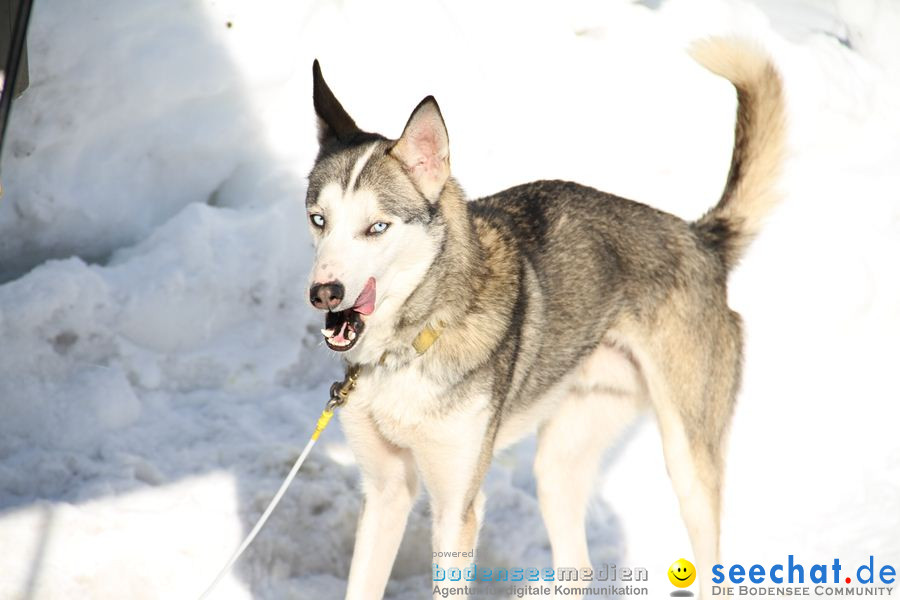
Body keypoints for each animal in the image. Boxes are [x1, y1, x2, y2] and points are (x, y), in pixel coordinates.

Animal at [302, 38, 780, 600]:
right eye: (318, 219)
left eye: (377, 227)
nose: (324, 293)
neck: (412, 343)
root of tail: (700, 239)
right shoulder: (386, 492)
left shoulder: (456, 507)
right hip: (559, 464)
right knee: (578, 562)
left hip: (688, 463)